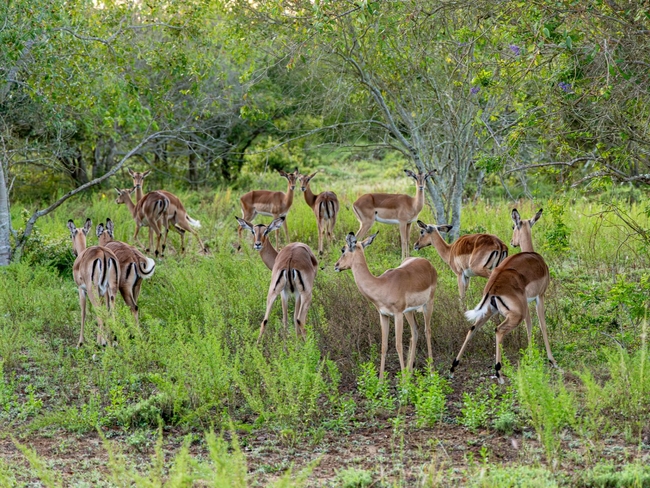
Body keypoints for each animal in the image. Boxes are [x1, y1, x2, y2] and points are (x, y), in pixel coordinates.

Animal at [67, 217, 119, 346]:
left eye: (71, 235)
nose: (73, 251)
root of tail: (103, 253)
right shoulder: (102, 292)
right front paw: (102, 340)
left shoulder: (81, 289)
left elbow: (83, 312)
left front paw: (80, 343)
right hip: (111, 290)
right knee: (111, 312)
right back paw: (112, 342)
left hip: (92, 290)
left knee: (100, 315)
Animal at [334, 232, 436, 378]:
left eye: (343, 250)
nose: (336, 265)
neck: (382, 285)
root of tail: (427, 263)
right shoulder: (383, 315)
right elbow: (383, 346)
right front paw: (381, 380)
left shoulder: (397, 314)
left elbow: (398, 345)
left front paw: (403, 382)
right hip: (409, 312)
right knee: (415, 331)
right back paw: (410, 372)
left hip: (428, 304)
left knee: (427, 331)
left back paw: (431, 373)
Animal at [450, 208, 552, 384]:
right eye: (513, 226)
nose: (512, 242)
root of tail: (493, 287)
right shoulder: (540, 297)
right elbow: (542, 325)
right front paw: (551, 360)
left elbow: (530, 326)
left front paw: (531, 355)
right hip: (515, 314)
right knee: (498, 330)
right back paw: (499, 373)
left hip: (489, 311)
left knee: (472, 329)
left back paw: (453, 368)